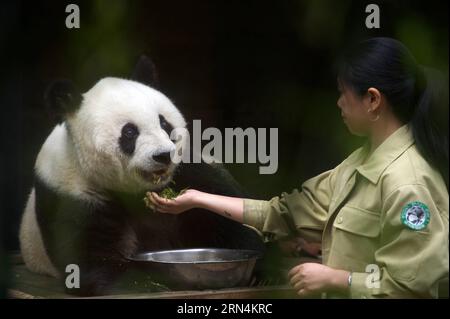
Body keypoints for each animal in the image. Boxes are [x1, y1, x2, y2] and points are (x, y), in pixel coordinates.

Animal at [19, 55, 266, 298]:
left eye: (164, 123)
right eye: (129, 132)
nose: (163, 155)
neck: (136, 191)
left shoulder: (189, 169)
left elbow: (220, 212)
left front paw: (258, 269)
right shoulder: (70, 191)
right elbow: (88, 255)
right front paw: (144, 282)